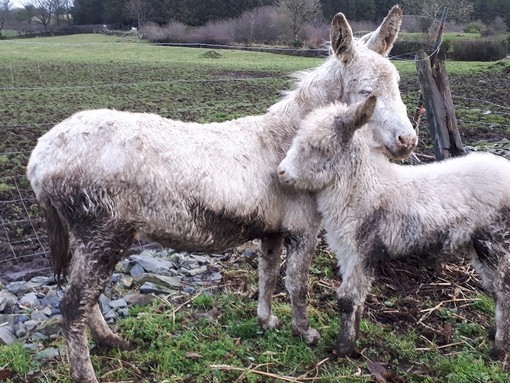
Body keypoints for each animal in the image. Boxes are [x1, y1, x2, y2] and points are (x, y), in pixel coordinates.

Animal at [26, 6, 418, 383]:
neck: (287, 141)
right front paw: (304, 333)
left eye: (398, 84)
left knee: (83, 300)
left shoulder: (272, 229)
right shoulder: (303, 228)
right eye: (367, 93)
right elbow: (298, 285)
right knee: (72, 307)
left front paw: (266, 321)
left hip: (87, 236)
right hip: (102, 232)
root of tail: (39, 157)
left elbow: (268, 275)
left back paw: (111, 341)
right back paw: (86, 373)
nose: (408, 142)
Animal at [278, 97, 510, 360]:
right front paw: (353, 339)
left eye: (318, 147)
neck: (365, 186)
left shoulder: (362, 249)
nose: (280, 172)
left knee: (504, 291)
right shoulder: (348, 252)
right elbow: (358, 299)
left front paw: (342, 349)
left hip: (496, 241)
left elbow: (347, 300)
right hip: (480, 246)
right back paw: (493, 333)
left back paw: (498, 349)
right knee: (495, 289)